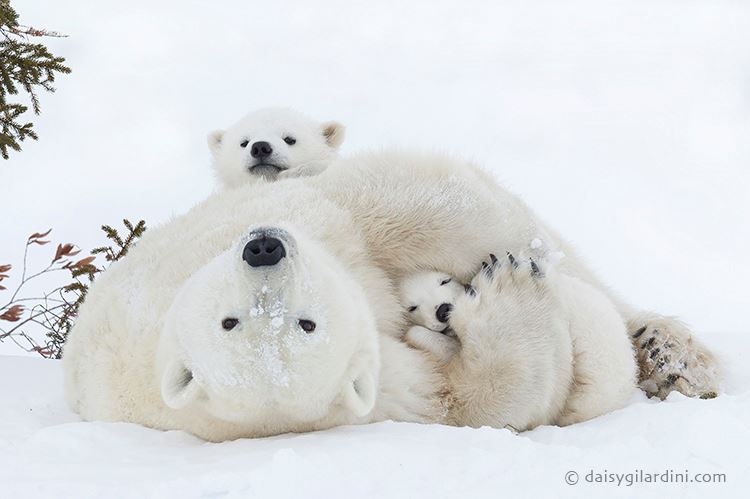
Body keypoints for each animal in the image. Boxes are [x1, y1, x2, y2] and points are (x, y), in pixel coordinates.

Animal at [63, 148, 721, 442]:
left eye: (302, 321)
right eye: (234, 323)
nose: (264, 248)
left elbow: (409, 205)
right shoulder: (378, 393)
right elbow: (472, 400)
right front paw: (507, 289)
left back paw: (670, 352)